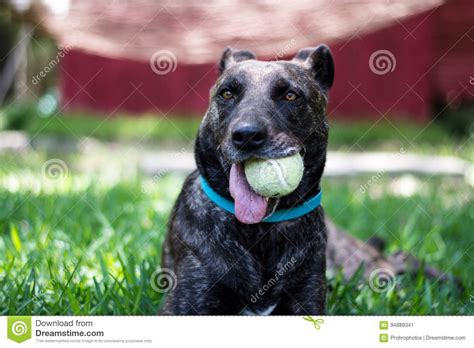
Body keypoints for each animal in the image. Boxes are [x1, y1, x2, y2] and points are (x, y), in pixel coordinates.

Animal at [161, 44, 336, 316]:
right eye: (227, 93)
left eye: (290, 95)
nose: (247, 135)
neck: (260, 229)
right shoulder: (185, 305)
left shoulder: (309, 300)